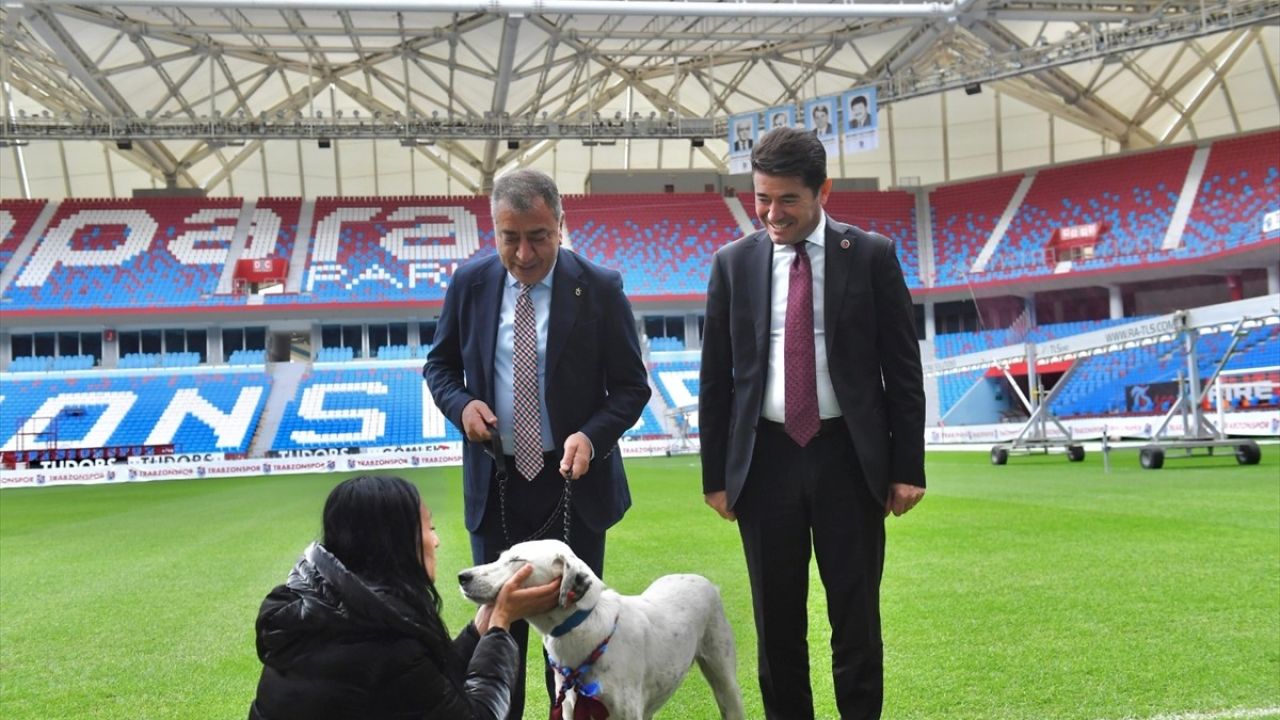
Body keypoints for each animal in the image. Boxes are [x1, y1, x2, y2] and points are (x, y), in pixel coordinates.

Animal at [458, 535, 747, 712]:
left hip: (725, 681)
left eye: (517, 561)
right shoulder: (569, 708)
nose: (462, 576)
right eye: (500, 556)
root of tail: (704, 581)